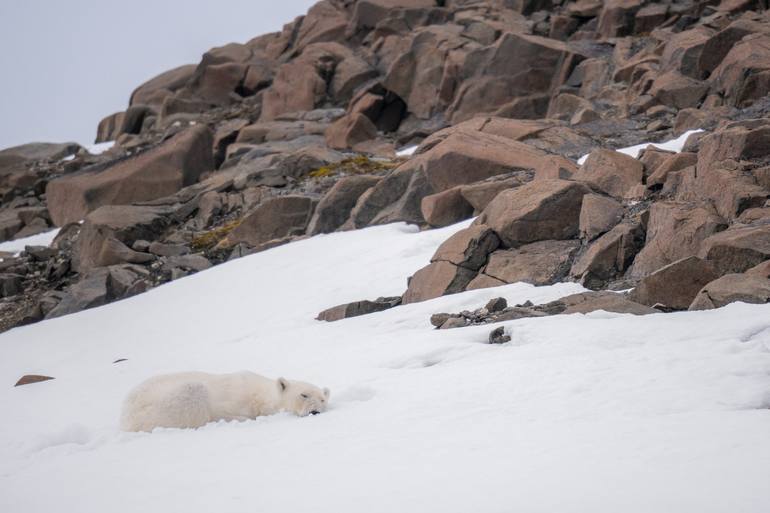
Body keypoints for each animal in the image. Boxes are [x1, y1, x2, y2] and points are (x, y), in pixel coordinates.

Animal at [118, 370, 328, 430]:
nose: (314, 411)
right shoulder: (233, 398)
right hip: (158, 405)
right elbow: (225, 412)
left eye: (322, 399)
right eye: (304, 395)